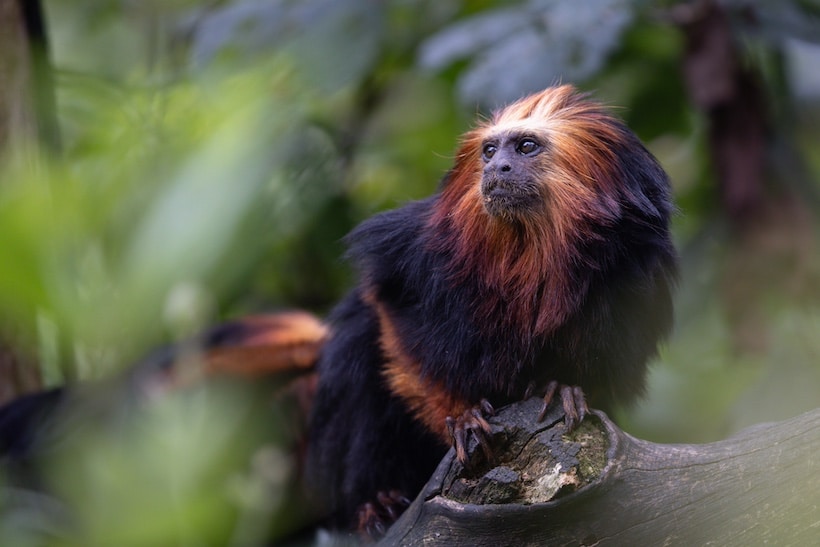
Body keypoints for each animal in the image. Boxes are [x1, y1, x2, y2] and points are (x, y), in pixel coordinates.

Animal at [304, 83, 676, 536]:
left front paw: (563, 387)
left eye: (526, 146)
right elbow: (393, 325)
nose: (497, 168)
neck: (530, 250)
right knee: (358, 354)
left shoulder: (637, 274)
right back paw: (377, 503)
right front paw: (461, 416)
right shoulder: (414, 252)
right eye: (490, 150)